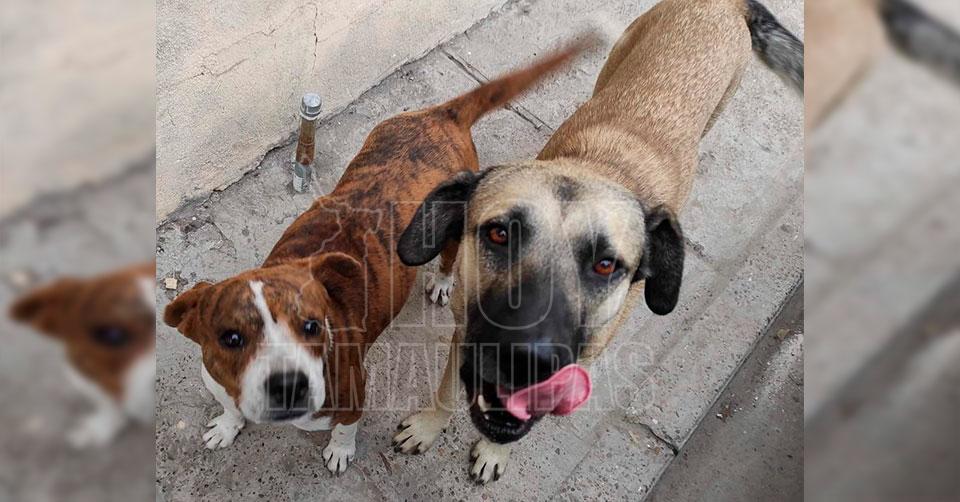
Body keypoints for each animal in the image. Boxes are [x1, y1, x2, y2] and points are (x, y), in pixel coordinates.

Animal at [161, 44, 588, 474]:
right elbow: (230, 405)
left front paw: (340, 450)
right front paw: (228, 425)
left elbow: (345, 427)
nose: (288, 384)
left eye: (312, 326)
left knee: (448, 256)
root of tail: (442, 115)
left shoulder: (353, 392)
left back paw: (442, 282)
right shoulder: (218, 380)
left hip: (448, 222)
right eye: (231, 338)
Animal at [392, 0, 802, 483]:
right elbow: (444, 392)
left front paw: (494, 450)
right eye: (498, 233)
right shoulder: (464, 333)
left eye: (606, 264)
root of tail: (723, 3)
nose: (525, 362)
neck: (596, 168)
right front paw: (428, 426)